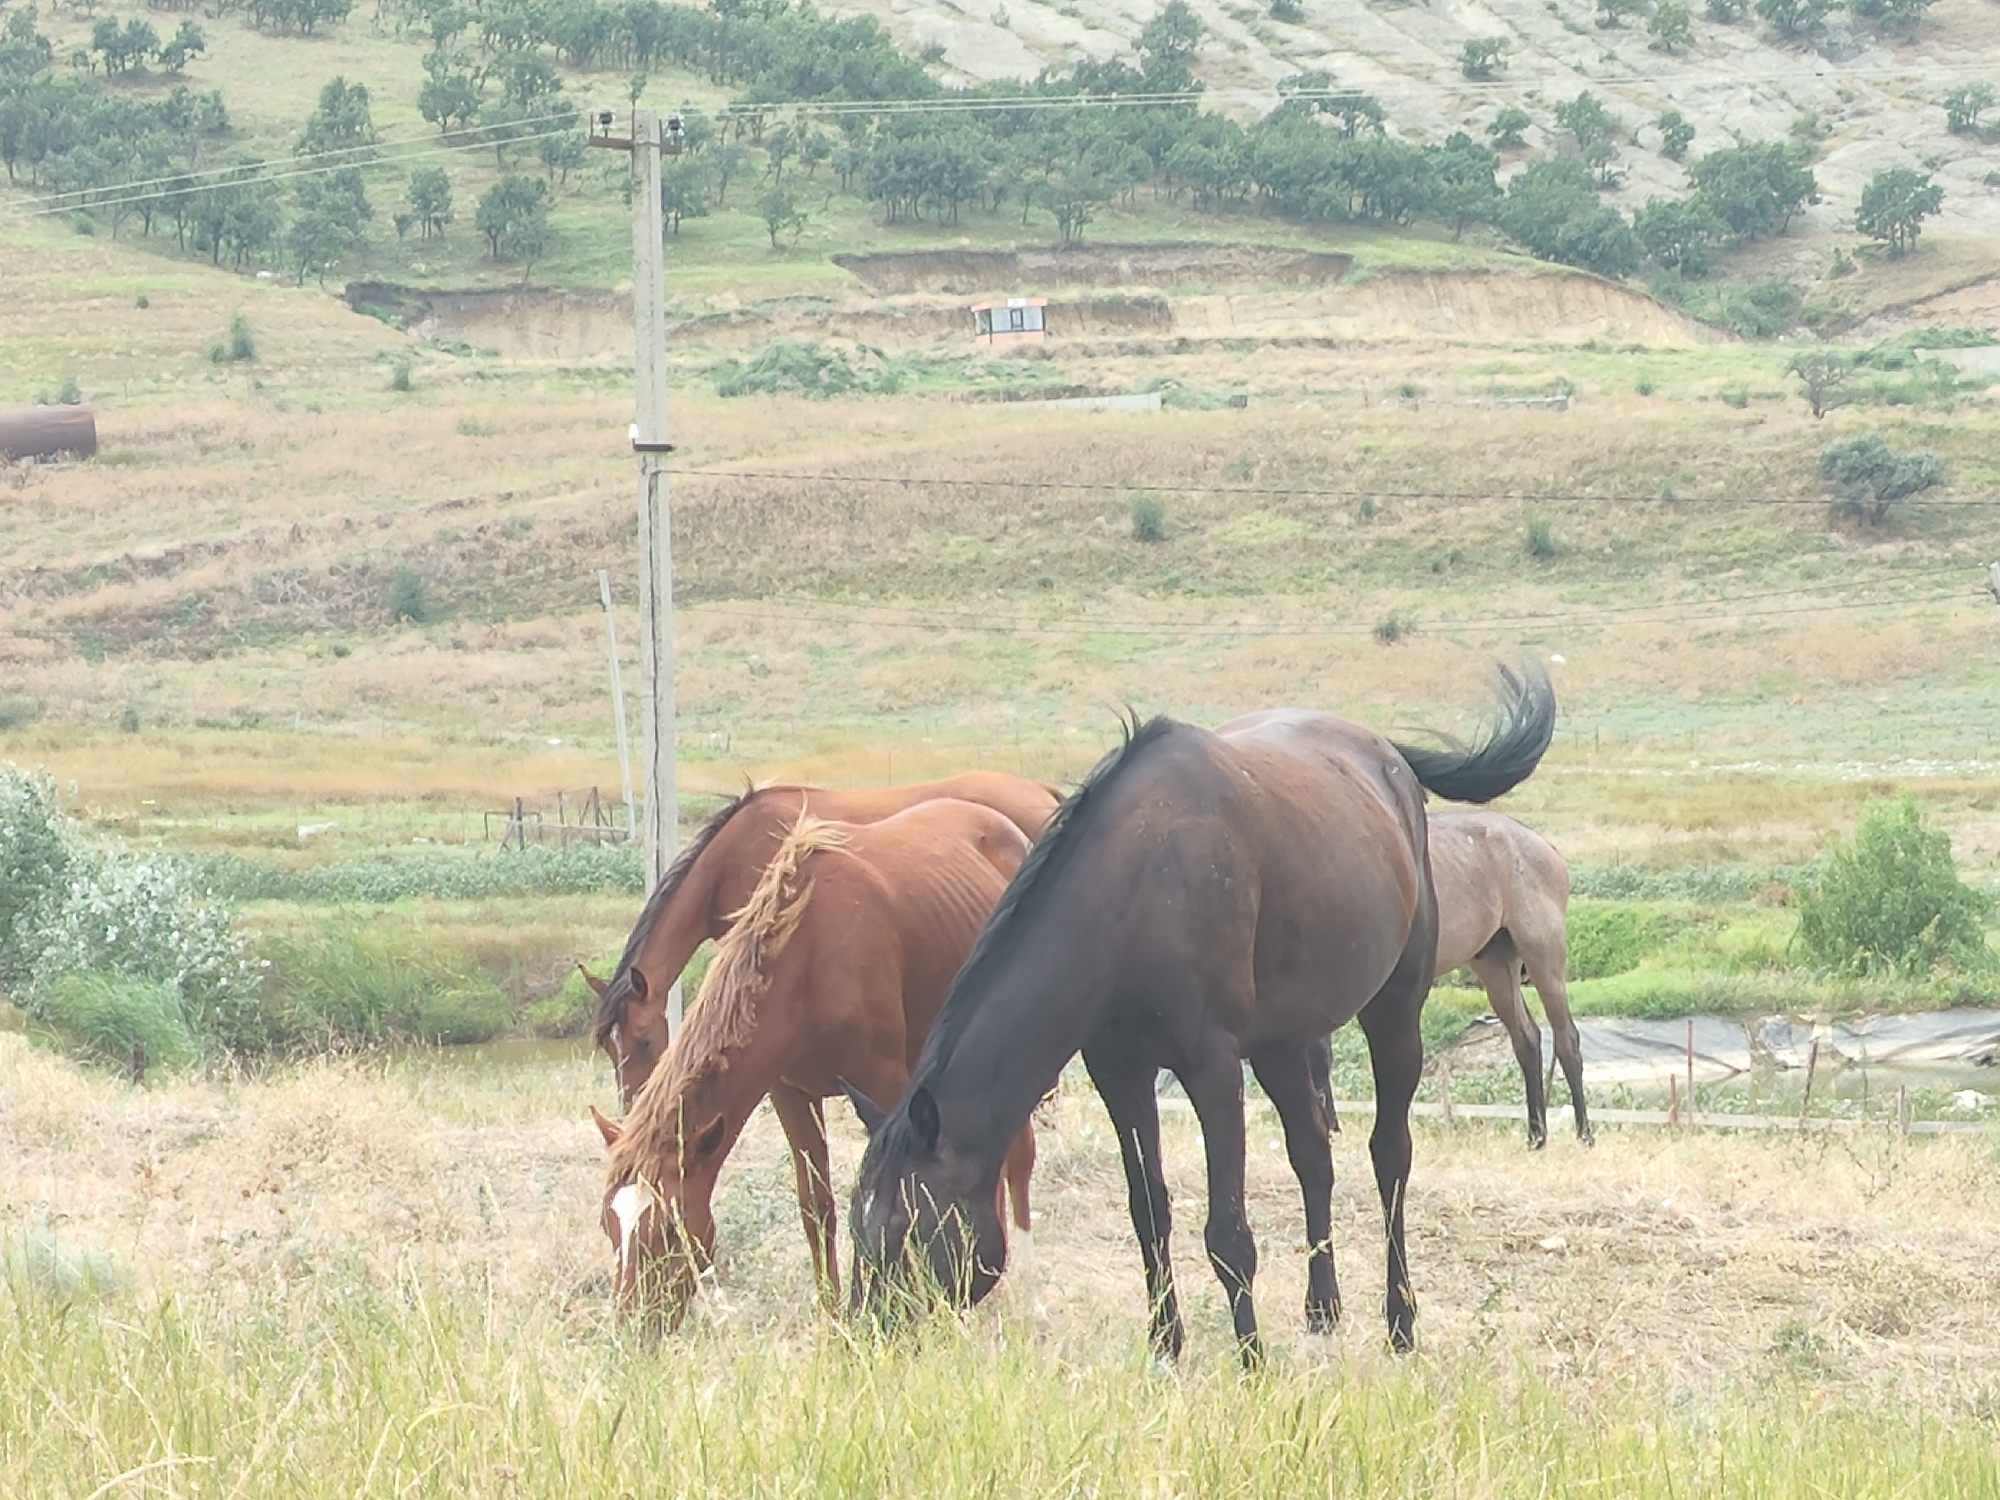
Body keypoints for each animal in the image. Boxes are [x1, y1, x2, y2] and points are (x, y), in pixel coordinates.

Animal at [592, 798, 1042, 1330]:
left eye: (666, 1229)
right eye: (609, 1224)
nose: (630, 1327)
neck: (807, 959)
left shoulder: (888, 1088)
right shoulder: (790, 1093)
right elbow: (815, 1204)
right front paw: (831, 1316)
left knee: (1018, 1156)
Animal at [846, 666, 1555, 1364]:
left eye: (907, 1229)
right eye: (856, 1224)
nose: (860, 1333)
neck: (1136, 888)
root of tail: (1389, 757)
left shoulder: (1212, 1067)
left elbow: (1227, 1232)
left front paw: (1251, 1360)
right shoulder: (1118, 1069)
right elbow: (1148, 1209)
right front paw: (1165, 1343)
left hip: (1394, 1010)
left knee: (1390, 1156)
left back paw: (1401, 1322)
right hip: (1281, 1043)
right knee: (1312, 1155)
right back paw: (1322, 1309)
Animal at [1430, 811, 1589, 1146]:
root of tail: (1546, 846)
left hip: (1544, 956)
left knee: (1566, 1039)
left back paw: (1584, 1135)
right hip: (1497, 968)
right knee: (1527, 1039)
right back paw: (1536, 1137)